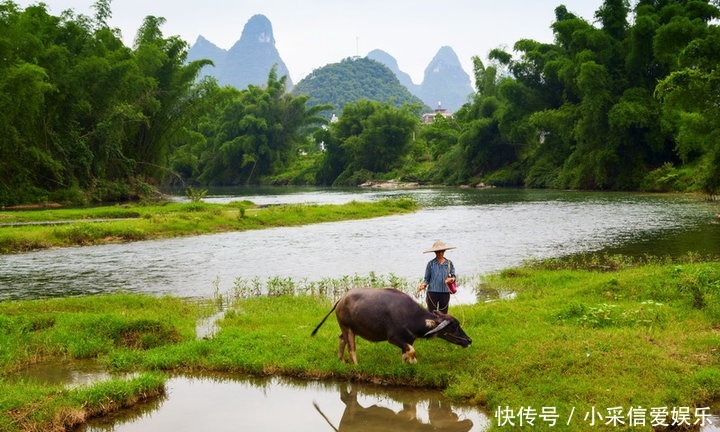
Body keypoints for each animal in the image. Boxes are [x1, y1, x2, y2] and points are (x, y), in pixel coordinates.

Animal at [310, 286, 472, 364]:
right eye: (453, 326)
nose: (469, 340)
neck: (411, 316)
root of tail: (341, 299)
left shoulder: (408, 340)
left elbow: (407, 353)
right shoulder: (393, 338)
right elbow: (412, 351)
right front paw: (413, 361)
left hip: (349, 328)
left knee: (341, 339)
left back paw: (341, 360)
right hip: (347, 328)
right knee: (351, 348)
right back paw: (356, 365)